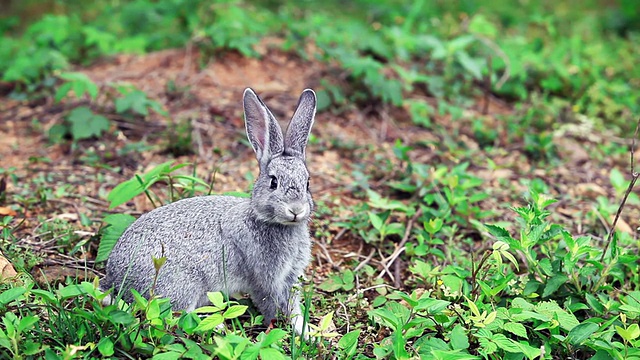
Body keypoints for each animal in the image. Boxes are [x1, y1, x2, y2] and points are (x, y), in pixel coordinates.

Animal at [100, 88, 318, 338]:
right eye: (273, 182)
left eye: (307, 183)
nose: (296, 210)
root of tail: (115, 280)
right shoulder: (264, 278)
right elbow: (270, 305)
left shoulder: (290, 278)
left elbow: (293, 307)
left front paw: (306, 332)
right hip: (181, 284)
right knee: (174, 317)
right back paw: (220, 327)